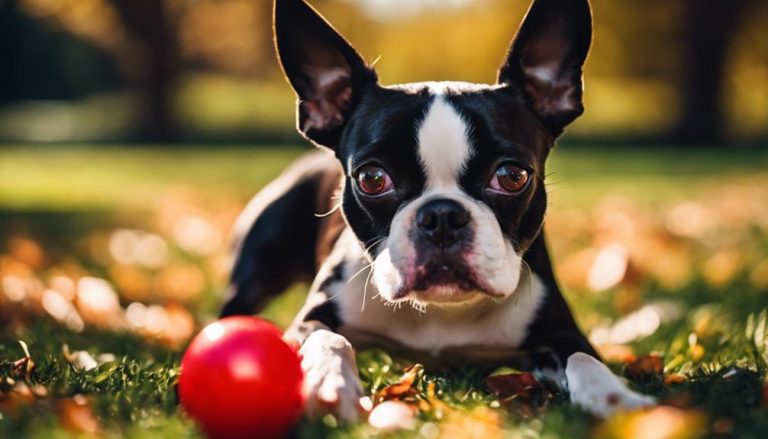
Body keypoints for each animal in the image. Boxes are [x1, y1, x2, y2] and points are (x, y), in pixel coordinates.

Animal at [220, 0, 656, 422]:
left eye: (512, 176)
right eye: (372, 178)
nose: (441, 216)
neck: (440, 313)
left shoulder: (561, 332)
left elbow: (584, 359)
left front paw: (615, 397)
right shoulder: (309, 320)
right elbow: (329, 339)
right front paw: (329, 383)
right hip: (254, 274)